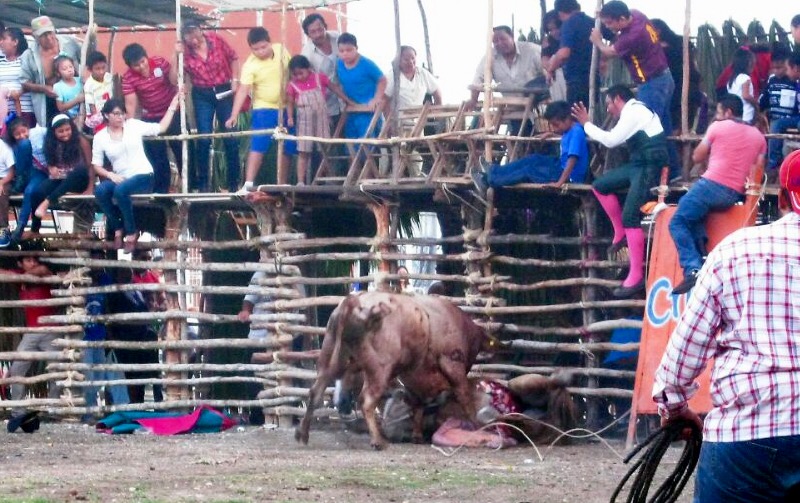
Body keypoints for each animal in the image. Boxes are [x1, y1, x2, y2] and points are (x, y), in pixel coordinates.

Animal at [294, 290, 494, 450]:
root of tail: (353, 301)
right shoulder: (451, 363)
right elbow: (463, 396)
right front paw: (477, 427)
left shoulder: (414, 375)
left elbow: (418, 402)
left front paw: (417, 435)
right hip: (379, 370)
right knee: (366, 400)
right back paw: (378, 441)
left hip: (330, 359)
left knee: (315, 392)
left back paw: (302, 433)